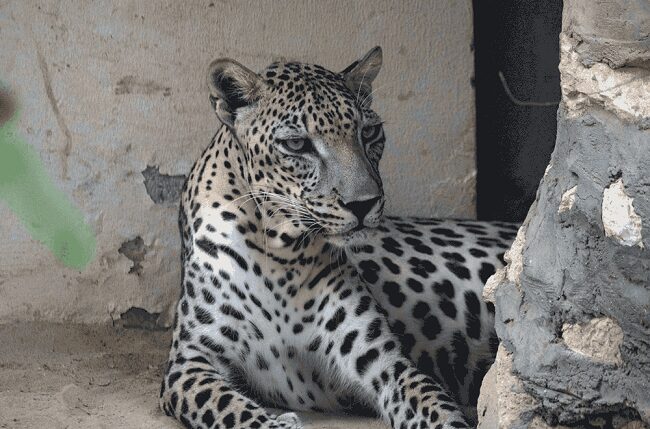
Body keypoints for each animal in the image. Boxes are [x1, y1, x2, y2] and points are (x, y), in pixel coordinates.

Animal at [159, 46, 517, 429]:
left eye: (369, 132)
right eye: (297, 144)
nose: (363, 203)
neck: (280, 257)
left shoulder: (384, 361)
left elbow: (432, 404)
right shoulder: (190, 364)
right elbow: (232, 409)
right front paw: (281, 423)